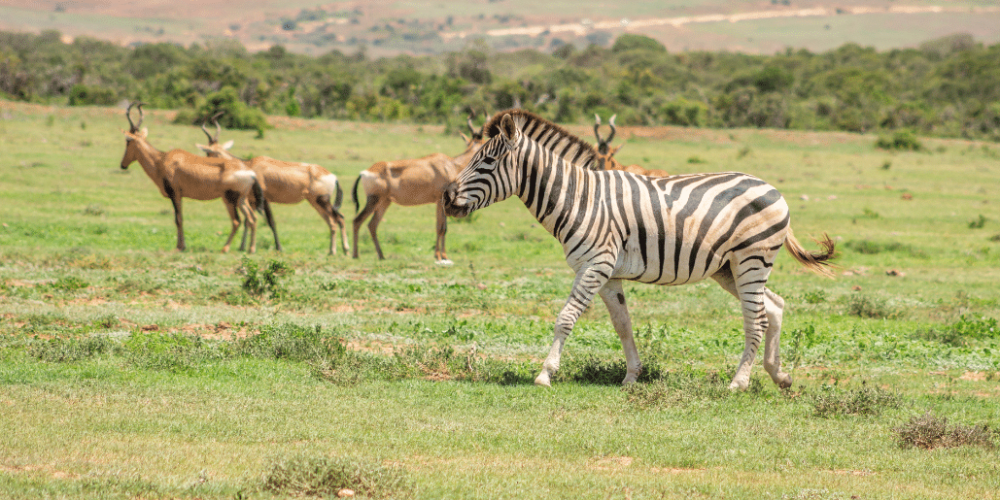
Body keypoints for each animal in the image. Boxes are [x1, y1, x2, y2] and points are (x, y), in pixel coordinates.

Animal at [117, 101, 264, 252]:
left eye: (128, 141)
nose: (123, 165)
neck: (161, 160)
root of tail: (249, 171)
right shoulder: (180, 196)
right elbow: (180, 218)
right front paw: (181, 245)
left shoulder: (175, 194)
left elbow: (178, 219)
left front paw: (180, 247)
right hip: (242, 200)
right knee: (252, 219)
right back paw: (251, 249)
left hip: (229, 199)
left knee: (236, 221)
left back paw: (225, 248)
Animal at [196, 115, 352, 256]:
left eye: (209, 152)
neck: (251, 165)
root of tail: (332, 176)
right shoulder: (252, 201)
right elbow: (248, 221)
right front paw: (242, 247)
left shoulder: (264, 199)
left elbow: (270, 222)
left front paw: (278, 248)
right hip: (315, 203)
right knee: (333, 220)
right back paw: (337, 250)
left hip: (322, 201)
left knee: (338, 219)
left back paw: (339, 250)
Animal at [352, 113, 488, 266]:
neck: (451, 164)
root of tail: (365, 172)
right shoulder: (440, 201)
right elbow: (440, 228)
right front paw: (438, 256)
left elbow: (444, 228)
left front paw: (444, 256)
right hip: (373, 200)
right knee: (357, 221)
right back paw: (356, 255)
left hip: (384, 202)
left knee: (372, 225)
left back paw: (381, 256)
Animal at [446, 109, 836, 390]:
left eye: (486, 162)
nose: (447, 197)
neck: (581, 197)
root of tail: (773, 188)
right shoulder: (607, 274)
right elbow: (623, 324)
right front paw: (633, 375)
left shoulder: (595, 265)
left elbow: (566, 318)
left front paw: (545, 374)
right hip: (729, 268)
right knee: (775, 306)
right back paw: (778, 376)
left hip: (752, 258)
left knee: (756, 318)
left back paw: (738, 383)